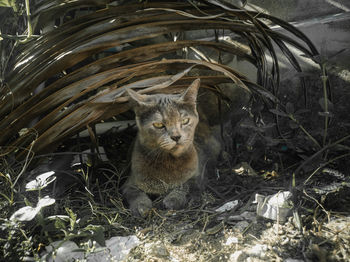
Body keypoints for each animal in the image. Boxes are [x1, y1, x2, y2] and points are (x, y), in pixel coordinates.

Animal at [121, 79, 220, 216]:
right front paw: (141, 206)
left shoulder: (199, 175)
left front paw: (172, 200)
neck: (168, 162)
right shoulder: (129, 183)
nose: (176, 136)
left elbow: (185, 185)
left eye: (184, 121)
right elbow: (134, 193)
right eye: (158, 125)